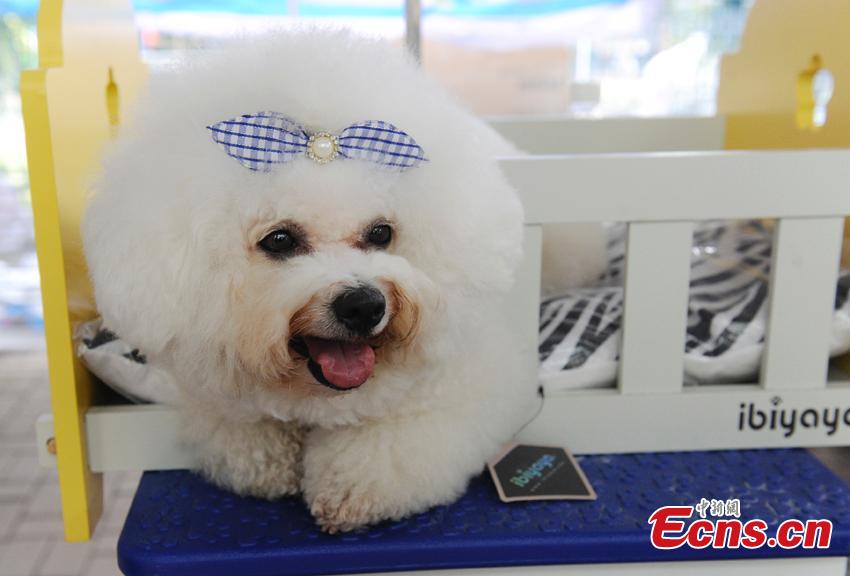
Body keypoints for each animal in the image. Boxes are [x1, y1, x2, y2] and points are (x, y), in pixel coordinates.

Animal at [83, 30, 604, 532]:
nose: (363, 305)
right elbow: (238, 426)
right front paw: (270, 458)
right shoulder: (210, 384)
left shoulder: (466, 386)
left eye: (381, 233)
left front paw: (347, 487)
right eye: (279, 239)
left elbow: (389, 446)